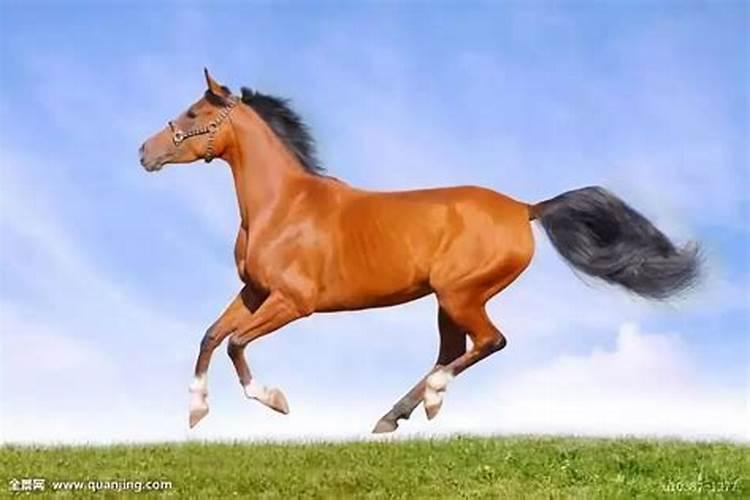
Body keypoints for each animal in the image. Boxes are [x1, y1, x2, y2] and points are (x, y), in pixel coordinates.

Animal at [139, 69, 700, 433]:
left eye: (194, 112)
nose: (144, 152)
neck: (281, 206)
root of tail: (525, 209)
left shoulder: (292, 303)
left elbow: (236, 344)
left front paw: (276, 402)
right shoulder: (255, 293)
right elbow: (212, 336)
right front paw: (195, 412)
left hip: (460, 295)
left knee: (488, 343)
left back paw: (427, 400)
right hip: (448, 301)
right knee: (455, 350)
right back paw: (395, 416)